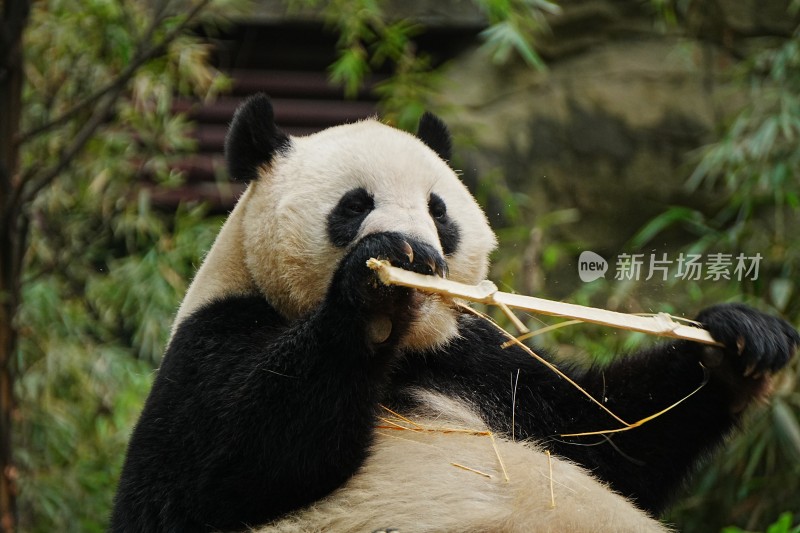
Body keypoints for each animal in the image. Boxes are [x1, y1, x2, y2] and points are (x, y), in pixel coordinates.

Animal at [109, 93, 796, 528]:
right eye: (354, 205)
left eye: (439, 210)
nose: (427, 260)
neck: (408, 358)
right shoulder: (210, 346)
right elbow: (228, 462)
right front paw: (378, 289)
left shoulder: (480, 363)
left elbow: (610, 436)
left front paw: (742, 344)